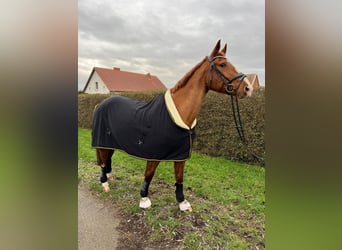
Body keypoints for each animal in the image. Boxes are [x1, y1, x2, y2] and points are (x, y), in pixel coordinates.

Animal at [92, 40, 252, 211]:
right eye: (222, 64)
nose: (248, 88)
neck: (180, 113)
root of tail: (101, 104)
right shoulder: (153, 153)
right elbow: (149, 174)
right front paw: (144, 199)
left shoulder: (181, 154)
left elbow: (179, 177)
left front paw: (182, 202)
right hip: (102, 142)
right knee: (103, 160)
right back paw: (104, 183)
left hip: (110, 142)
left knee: (107, 158)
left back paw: (108, 176)